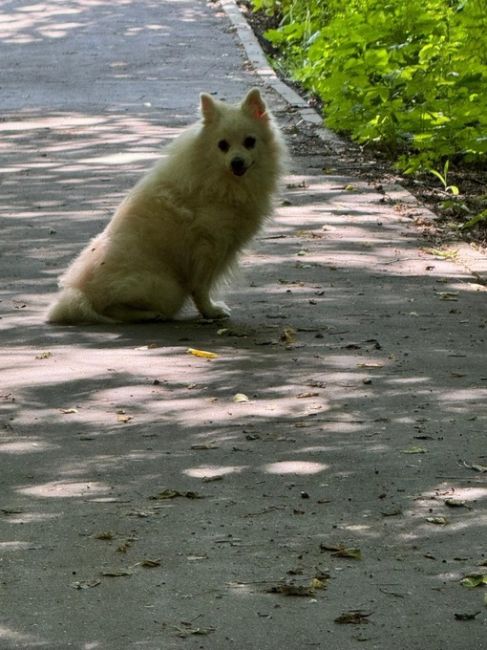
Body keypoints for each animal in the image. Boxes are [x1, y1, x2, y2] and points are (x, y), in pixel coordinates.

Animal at [46, 90, 286, 322]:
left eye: (250, 141)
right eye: (223, 145)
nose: (236, 162)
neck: (221, 180)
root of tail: (82, 294)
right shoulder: (208, 247)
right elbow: (201, 287)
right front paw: (210, 311)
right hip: (168, 289)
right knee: (110, 308)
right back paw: (150, 315)